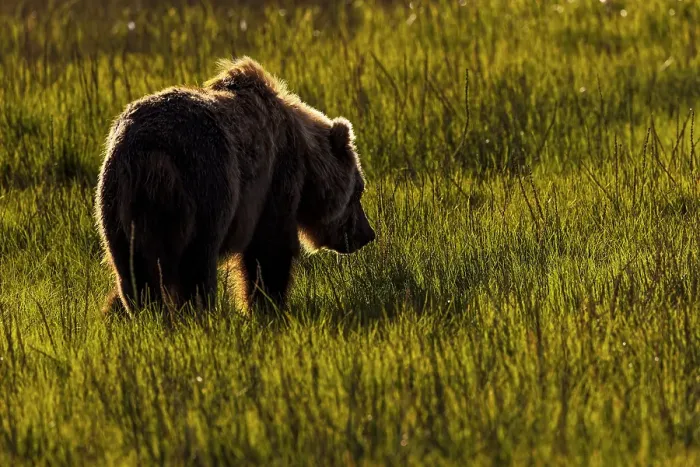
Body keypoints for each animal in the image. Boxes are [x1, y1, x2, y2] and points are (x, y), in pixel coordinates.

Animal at [94, 56, 375, 317]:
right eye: (358, 190)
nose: (368, 234)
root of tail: (151, 156)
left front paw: (111, 309)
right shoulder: (276, 179)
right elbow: (269, 249)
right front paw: (267, 306)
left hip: (116, 207)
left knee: (134, 271)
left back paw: (147, 313)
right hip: (208, 186)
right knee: (196, 264)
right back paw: (198, 313)